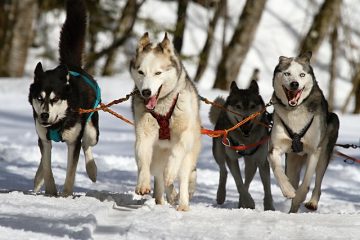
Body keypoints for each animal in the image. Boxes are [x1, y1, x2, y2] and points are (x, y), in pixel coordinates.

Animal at [28, 0, 100, 196]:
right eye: (39, 98)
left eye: (55, 99)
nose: (44, 115)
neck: (58, 122)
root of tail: (72, 66)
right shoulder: (44, 138)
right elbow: (47, 165)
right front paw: (51, 191)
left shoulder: (73, 142)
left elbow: (71, 172)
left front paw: (66, 195)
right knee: (43, 157)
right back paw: (38, 179)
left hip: (92, 131)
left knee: (87, 144)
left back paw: (92, 170)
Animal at [130, 32, 202, 211]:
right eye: (141, 72)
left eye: (158, 73)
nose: (146, 92)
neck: (162, 107)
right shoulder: (144, 134)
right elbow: (142, 158)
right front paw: (143, 184)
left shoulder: (185, 135)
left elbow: (177, 151)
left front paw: (170, 172)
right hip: (157, 159)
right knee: (159, 179)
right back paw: (162, 200)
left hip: (188, 158)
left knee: (182, 178)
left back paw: (182, 204)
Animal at [210, 80, 274, 210]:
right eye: (238, 106)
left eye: (252, 106)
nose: (246, 119)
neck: (245, 140)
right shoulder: (232, 158)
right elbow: (239, 183)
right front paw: (249, 202)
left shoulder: (262, 161)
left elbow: (267, 188)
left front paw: (269, 207)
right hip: (219, 152)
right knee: (223, 170)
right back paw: (221, 195)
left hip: (251, 163)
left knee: (248, 180)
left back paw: (241, 203)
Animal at [268, 51, 338, 212]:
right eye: (287, 73)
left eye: (301, 74)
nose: (294, 84)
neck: (295, 111)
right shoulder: (275, 148)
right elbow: (277, 169)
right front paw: (288, 190)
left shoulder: (314, 151)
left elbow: (306, 183)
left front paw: (300, 196)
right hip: (292, 162)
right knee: (292, 178)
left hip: (325, 148)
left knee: (318, 181)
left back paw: (312, 202)